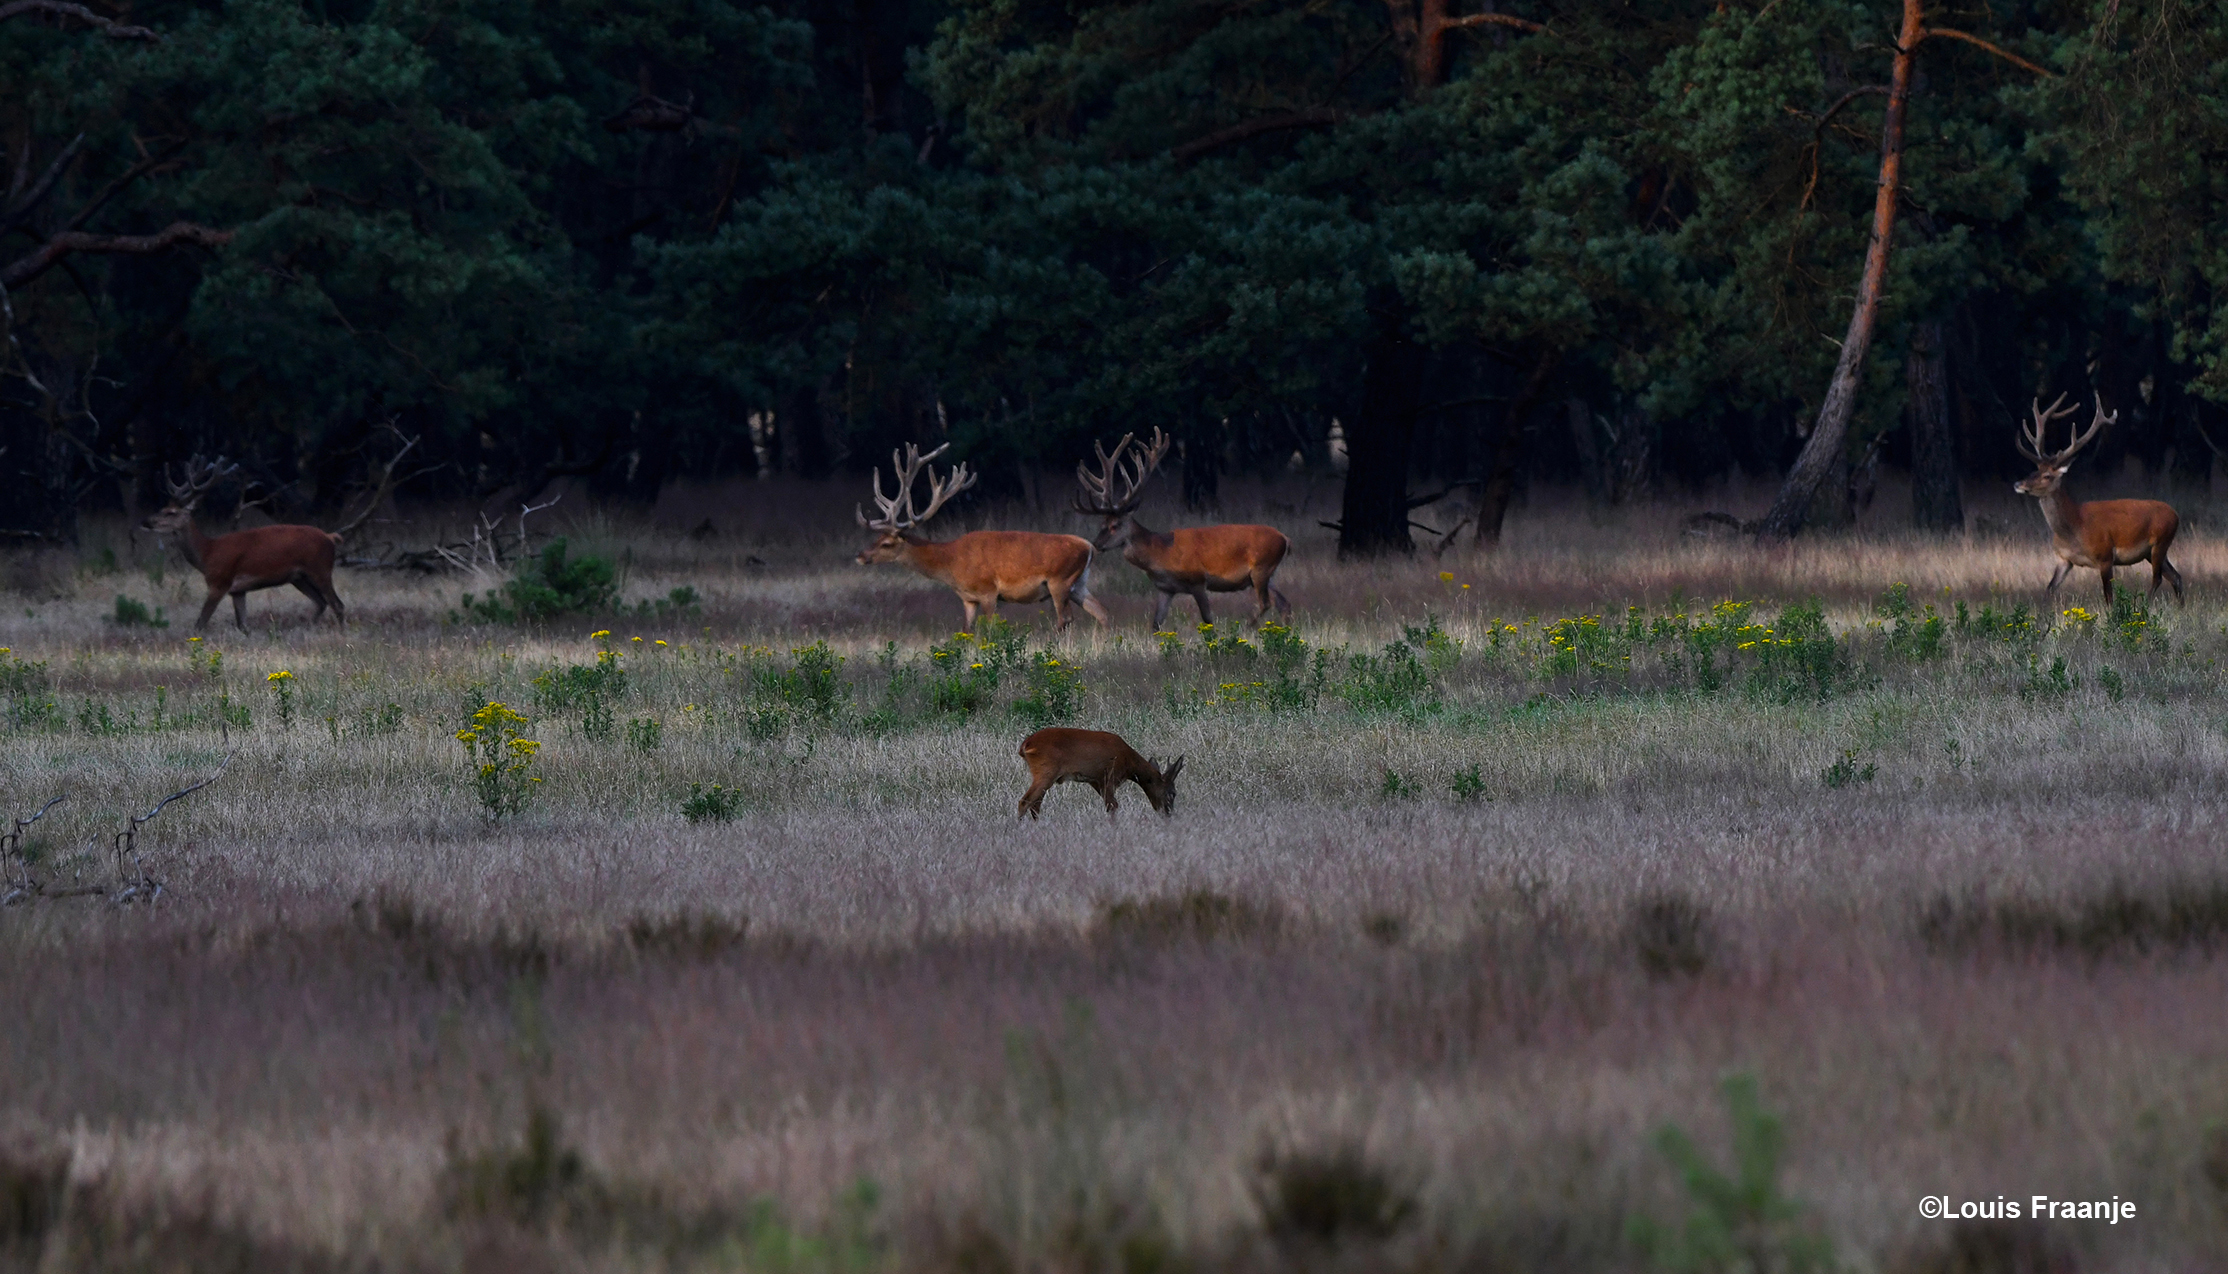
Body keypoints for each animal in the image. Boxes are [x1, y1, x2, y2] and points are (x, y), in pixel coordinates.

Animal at [141, 458, 347, 637]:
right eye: (162, 508)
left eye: (171, 512)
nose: (146, 521)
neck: (207, 553)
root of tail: (330, 537)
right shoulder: (238, 590)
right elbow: (242, 625)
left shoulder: (220, 582)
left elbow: (201, 622)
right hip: (299, 577)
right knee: (321, 602)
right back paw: (306, 627)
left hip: (320, 568)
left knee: (337, 604)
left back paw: (339, 632)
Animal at [851, 443, 1105, 632]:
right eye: (877, 539)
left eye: (886, 543)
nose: (860, 556)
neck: (951, 563)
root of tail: (1089, 547)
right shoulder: (968, 598)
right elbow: (966, 630)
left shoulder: (988, 591)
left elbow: (991, 628)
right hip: (1078, 584)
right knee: (1101, 612)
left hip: (1058, 580)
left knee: (1066, 618)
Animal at [1020, 726, 1185, 815]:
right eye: (1173, 793)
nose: (1168, 813)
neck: (1129, 762)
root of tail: (1025, 745)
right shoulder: (1110, 776)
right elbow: (1113, 806)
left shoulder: (1096, 780)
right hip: (1046, 770)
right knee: (1025, 801)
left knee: (1035, 804)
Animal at [1073, 429, 1292, 628]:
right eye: (1102, 524)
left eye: (1115, 525)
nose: (1096, 544)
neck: (1160, 553)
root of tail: (1285, 539)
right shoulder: (1166, 589)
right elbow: (1156, 623)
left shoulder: (1197, 580)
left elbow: (1208, 619)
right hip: (1268, 573)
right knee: (1284, 604)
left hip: (1261, 568)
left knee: (1265, 603)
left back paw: (1247, 626)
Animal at [2014, 389, 2183, 605]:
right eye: (2034, 470)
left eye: (2047, 476)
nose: (2018, 484)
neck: (2074, 528)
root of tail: (2175, 514)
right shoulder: (2063, 559)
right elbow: (2049, 589)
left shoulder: (2105, 556)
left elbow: (2109, 596)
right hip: (2151, 551)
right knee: (2176, 576)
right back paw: (2181, 607)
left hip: (2160, 542)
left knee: (2158, 578)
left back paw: (2145, 603)